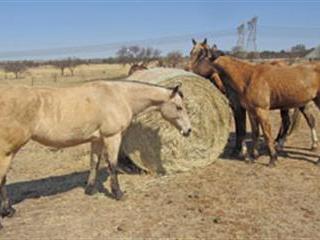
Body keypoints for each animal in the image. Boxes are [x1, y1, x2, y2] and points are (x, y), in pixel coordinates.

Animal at [0, 79, 191, 228]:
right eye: (179, 107)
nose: (188, 131)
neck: (120, 96)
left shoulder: (97, 139)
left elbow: (94, 163)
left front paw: (90, 189)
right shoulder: (112, 137)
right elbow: (112, 165)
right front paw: (118, 193)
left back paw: (9, 210)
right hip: (7, 152)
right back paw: (7, 212)